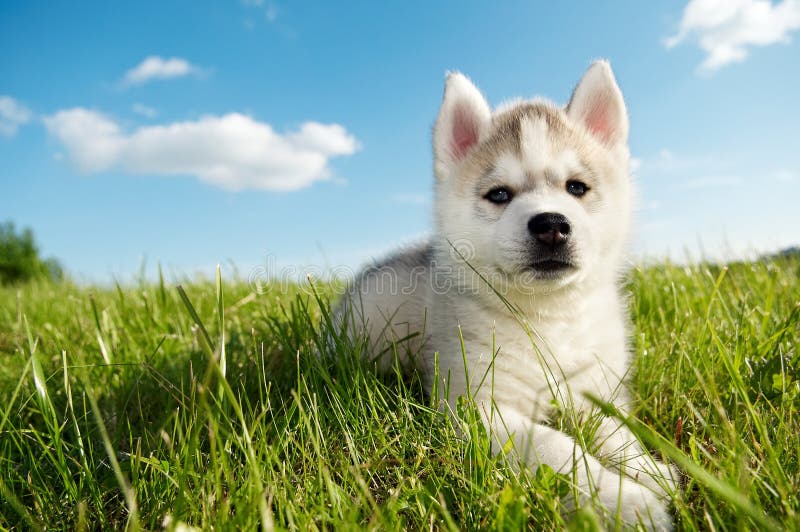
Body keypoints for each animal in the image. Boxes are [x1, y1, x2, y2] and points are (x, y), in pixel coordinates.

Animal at [336, 62, 676, 528]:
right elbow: (557, 446)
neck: (549, 318)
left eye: (576, 188)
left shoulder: (594, 389)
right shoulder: (477, 405)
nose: (552, 224)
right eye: (499, 194)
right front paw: (624, 501)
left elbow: (615, 430)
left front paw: (647, 469)